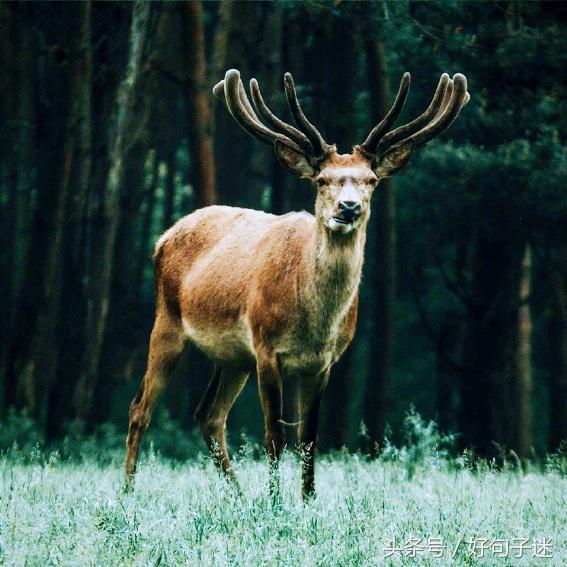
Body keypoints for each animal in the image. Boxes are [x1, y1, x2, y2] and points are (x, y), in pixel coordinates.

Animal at [127, 69, 470, 500]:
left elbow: (309, 438)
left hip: (232, 356)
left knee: (208, 415)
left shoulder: (324, 361)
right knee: (140, 408)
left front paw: (307, 500)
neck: (313, 322)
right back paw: (128, 492)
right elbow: (274, 435)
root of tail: (163, 237)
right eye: (322, 180)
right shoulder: (266, 347)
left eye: (371, 180)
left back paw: (237, 494)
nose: (348, 207)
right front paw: (275, 501)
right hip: (168, 322)